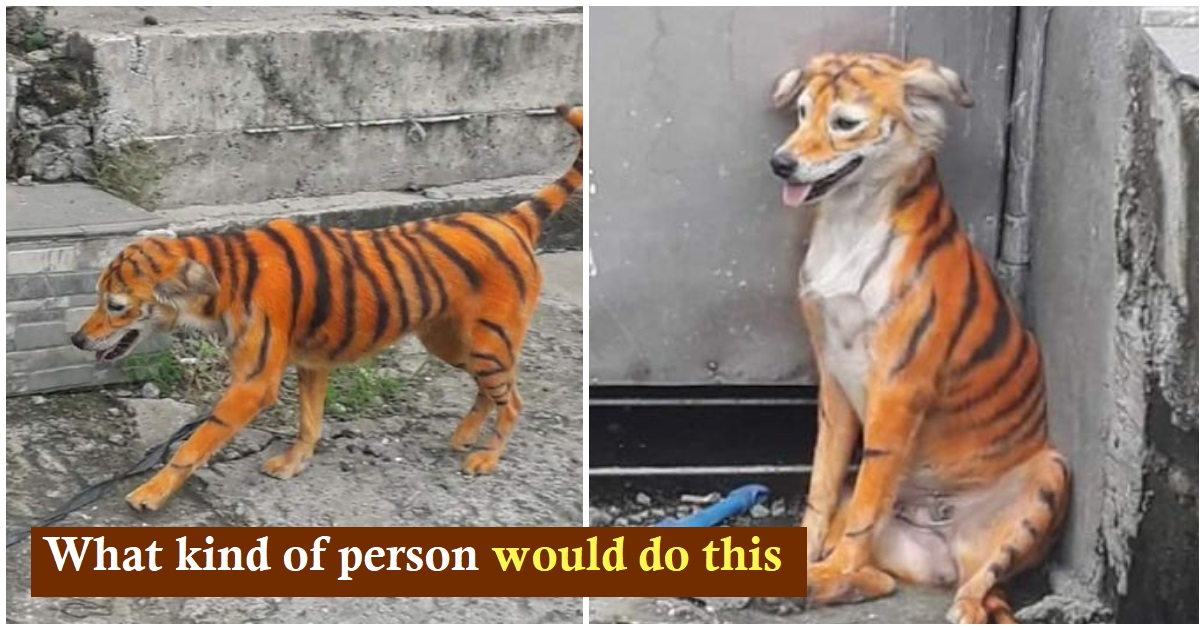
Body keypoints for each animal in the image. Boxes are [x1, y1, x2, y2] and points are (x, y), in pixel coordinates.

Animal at [70, 105, 583, 513]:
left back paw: (486, 457)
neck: (221, 278)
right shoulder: (312, 364)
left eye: (115, 305)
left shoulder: (254, 382)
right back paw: (463, 437)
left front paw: (150, 493)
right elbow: (309, 422)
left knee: (513, 400)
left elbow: (195, 443)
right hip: (451, 341)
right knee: (489, 391)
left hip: (486, 343)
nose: (76, 339)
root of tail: (510, 218)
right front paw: (293, 464)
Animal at [766, 53, 1070, 623]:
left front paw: (828, 567)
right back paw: (810, 589)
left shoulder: (898, 388)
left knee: (978, 588)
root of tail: (948, 540)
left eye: (845, 122)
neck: (850, 221)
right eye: (800, 112)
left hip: (1050, 475)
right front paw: (804, 559)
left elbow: (868, 503)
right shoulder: (832, 379)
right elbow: (822, 482)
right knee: (881, 580)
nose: (781, 163)